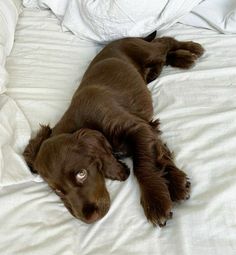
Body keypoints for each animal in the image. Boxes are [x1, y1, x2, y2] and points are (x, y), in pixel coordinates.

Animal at [24, 31, 205, 225]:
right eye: (57, 190)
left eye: (82, 174)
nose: (90, 219)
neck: (81, 123)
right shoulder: (147, 127)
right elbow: (159, 152)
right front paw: (178, 184)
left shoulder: (137, 127)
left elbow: (143, 164)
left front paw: (156, 201)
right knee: (162, 56)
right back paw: (177, 60)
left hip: (147, 51)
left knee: (164, 42)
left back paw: (191, 50)